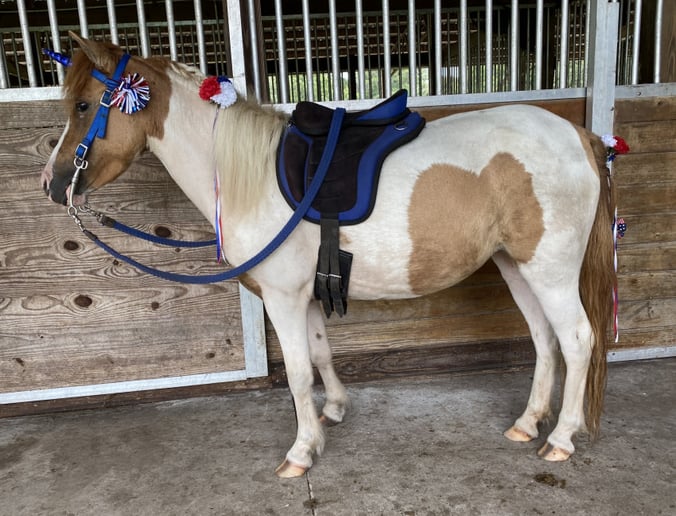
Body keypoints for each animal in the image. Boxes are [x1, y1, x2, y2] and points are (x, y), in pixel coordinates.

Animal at [41, 34, 616, 478]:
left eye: (83, 106)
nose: (51, 184)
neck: (250, 177)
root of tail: (580, 136)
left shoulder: (282, 298)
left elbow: (297, 373)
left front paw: (301, 451)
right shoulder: (306, 294)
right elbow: (320, 356)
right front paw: (333, 412)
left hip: (551, 271)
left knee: (577, 340)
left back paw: (560, 439)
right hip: (517, 266)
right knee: (545, 340)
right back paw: (527, 423)